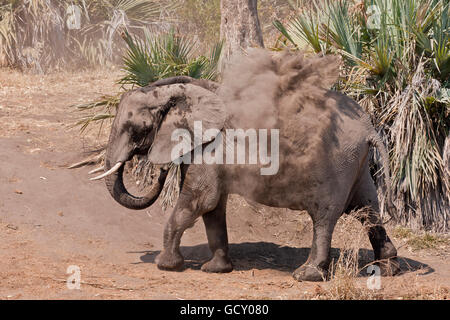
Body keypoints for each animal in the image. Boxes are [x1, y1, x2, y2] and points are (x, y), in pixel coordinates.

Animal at [89, 71, 400, 282]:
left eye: (135, 128)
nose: (161, 171)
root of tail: (369, 129)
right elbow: (213, 208)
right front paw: (216, 270)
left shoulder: (208, 148)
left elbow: (197, 201)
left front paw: (166, 265)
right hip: (357, 164)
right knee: (367, 210)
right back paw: (388, 269)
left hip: (335, 164)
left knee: (324, 218)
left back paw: (305, 275)